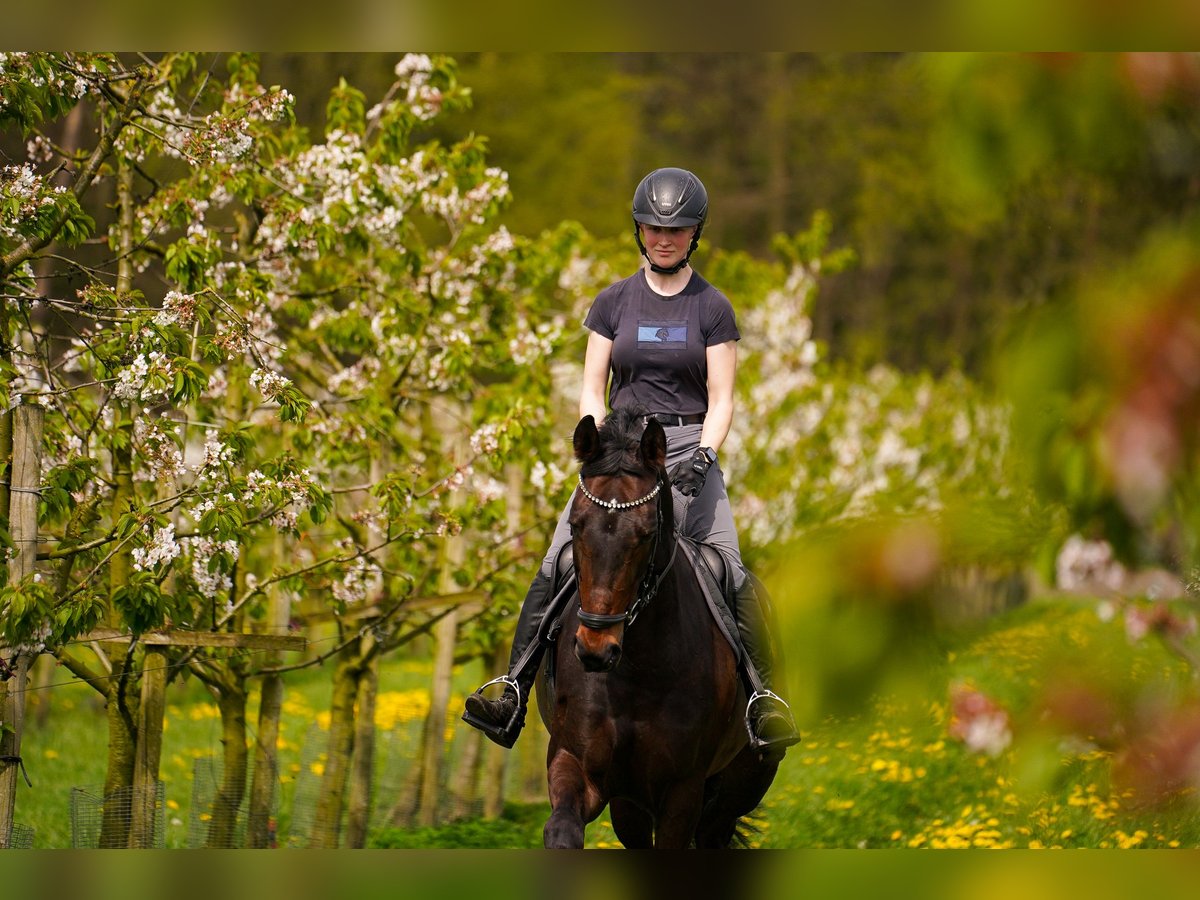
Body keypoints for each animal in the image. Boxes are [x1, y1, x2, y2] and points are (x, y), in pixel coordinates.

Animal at [532, 410, 777, 854]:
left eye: (646, 534)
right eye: (575, 525)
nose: (595, 650)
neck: (637, 671)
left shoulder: (682, 791)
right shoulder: (578, 765)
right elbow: (562, 832)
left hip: (742, 783)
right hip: (630, 804)